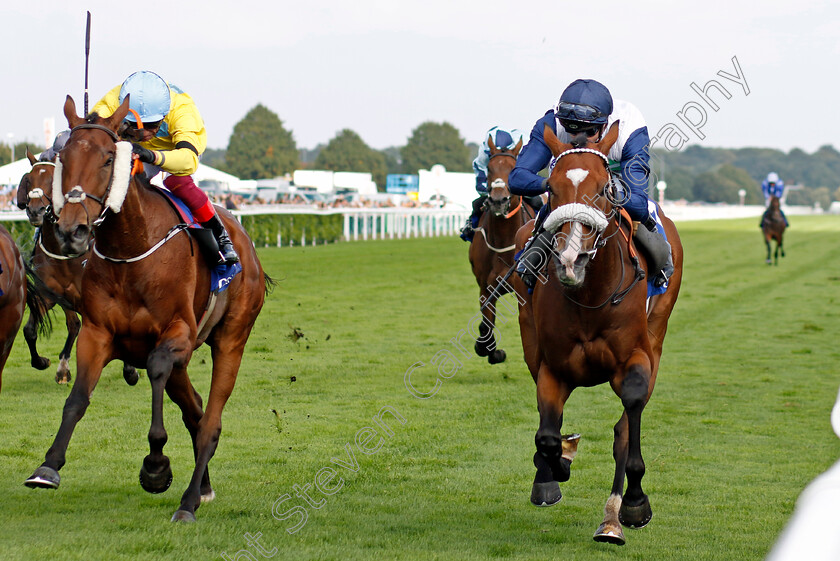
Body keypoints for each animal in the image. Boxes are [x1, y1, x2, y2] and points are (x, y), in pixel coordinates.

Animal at [16, 149, 139, 384]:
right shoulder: (49, 295)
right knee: (73, 325)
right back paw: (63, 368)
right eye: (28, 180)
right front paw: (42, 361)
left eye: (52, 180)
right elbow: (29, 330)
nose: (35, 211)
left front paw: (130, 370)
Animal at [466, 135, 532, 364]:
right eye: (489, 168)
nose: (497, 200)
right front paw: (492, 350)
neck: (504, 241)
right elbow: (485, 326)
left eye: (513, 168)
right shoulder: (486, 287)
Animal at [512, 121, 684, 544]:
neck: (589, 295)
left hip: (657, 335)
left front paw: (634, 505)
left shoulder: (636, 358)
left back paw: (613, 517)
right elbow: (547, 435)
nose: (571, 260)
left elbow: (629, 416)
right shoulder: (552, 365)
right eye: (551, 187)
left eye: (605, 187)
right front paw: (553, 471)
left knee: (624, 424)